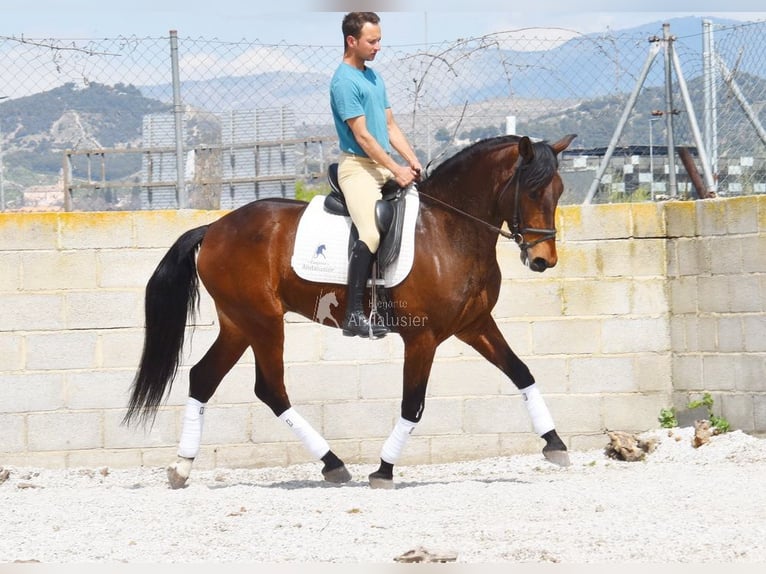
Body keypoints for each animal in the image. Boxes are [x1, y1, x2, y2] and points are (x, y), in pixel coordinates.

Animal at [124, 133, 577, 489]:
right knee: (271, 389)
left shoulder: (475, 325)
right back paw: (333, 464)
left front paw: (555, 444)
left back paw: (182, 467)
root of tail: (215, 228)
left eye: (559, 191)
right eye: (532, 191)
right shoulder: (423, 338)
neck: (450, 228)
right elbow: (412, 404)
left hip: (239, 324)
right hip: (264, 322)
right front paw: (384, 470)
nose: (543, 260)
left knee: (203, 378)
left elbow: (522, 372)